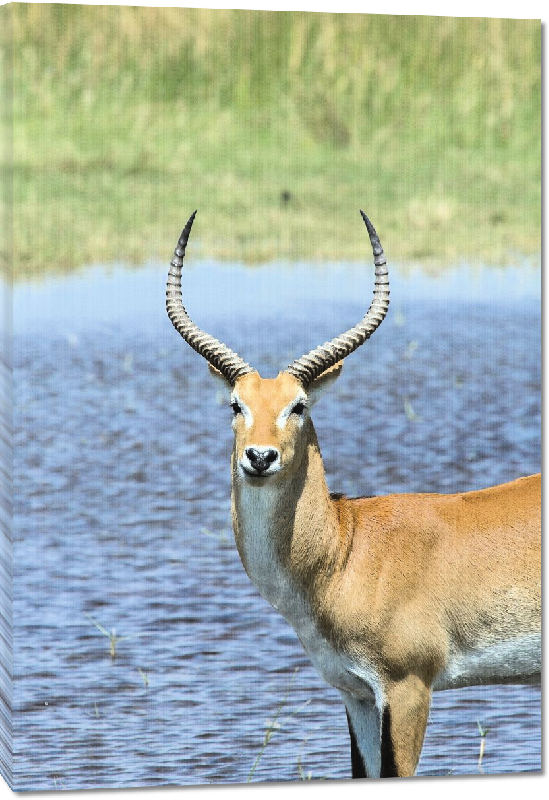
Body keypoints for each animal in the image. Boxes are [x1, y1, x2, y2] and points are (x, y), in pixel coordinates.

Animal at [166, 209, 540, 780]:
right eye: (235, 404)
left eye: (298, 405)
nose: (259, 457)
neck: (345, 550)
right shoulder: (356, 695)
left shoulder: (408, 689)